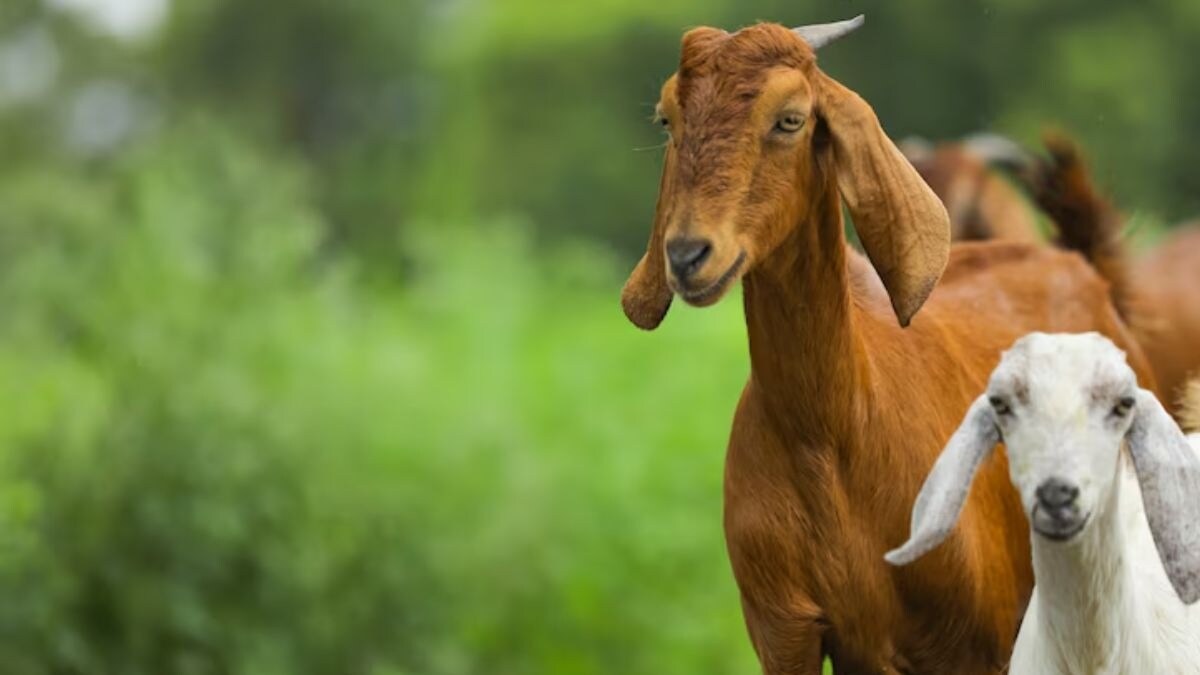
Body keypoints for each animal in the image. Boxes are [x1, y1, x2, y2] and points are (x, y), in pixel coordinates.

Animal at [621, 15, 1156, 674]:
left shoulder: (969, 643)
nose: (688, 255)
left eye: (790, 119)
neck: (833, 435)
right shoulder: (787, 632)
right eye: (667, 119)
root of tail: (1088, 272)